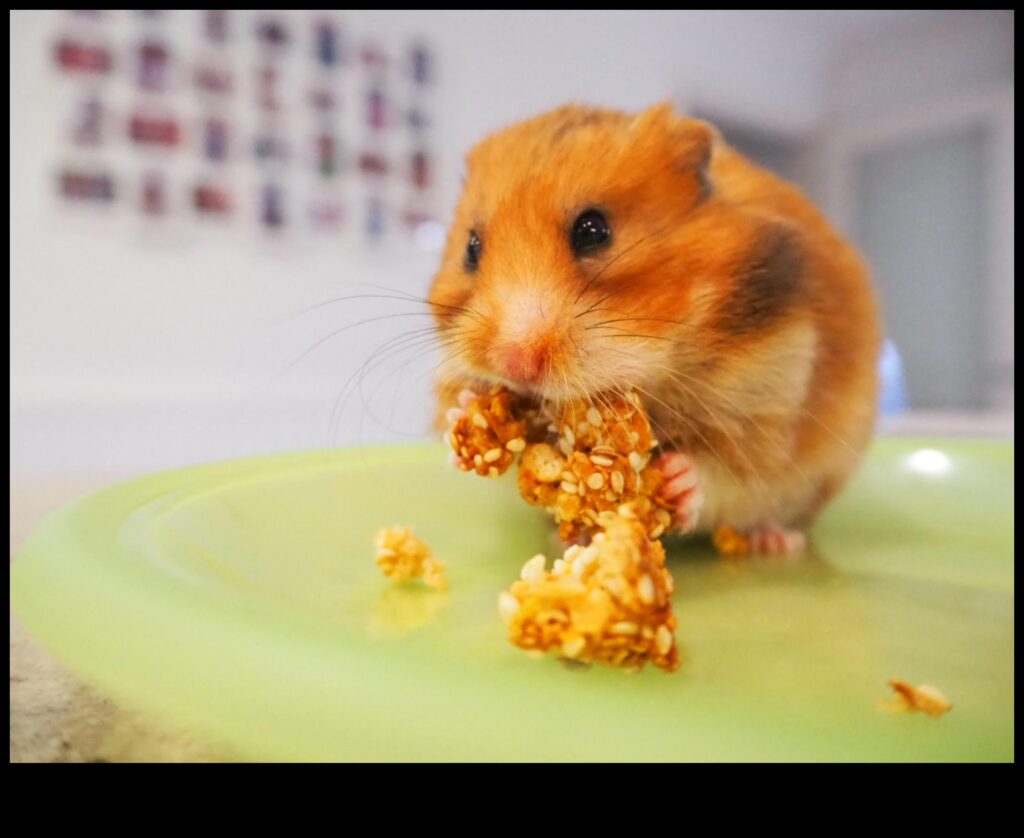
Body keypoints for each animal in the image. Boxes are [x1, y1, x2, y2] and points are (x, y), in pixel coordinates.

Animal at [427, 103, 881, 554]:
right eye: (471, 248)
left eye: (593, 230)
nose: (514, 363)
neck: (659, 370)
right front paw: (465, 410)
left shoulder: (772, 396)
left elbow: (729, 472)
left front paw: (677, 479)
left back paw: (775, 543)